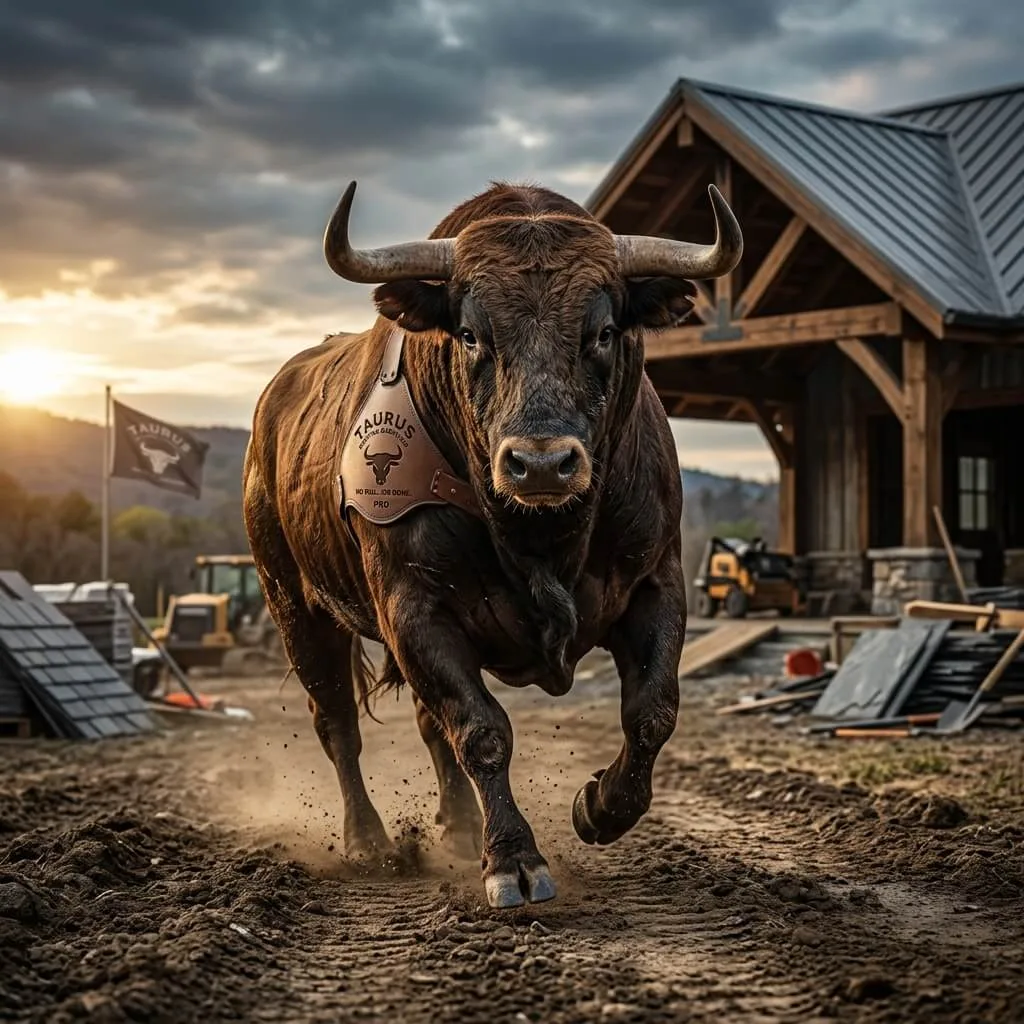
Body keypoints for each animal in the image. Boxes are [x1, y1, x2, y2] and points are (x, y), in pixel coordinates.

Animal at [243, 179, 741, 909]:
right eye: (472, 334)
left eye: (604, 331)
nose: (540, 465)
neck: (542, 539)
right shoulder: (415, 610)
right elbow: (481, 731)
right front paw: (513, 858)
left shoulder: (657, 584)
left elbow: (652, 711)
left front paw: (598, 808)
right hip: (296, 608)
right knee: (338, 723)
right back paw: (369, 841)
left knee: (428, 728)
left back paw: (455, 827)